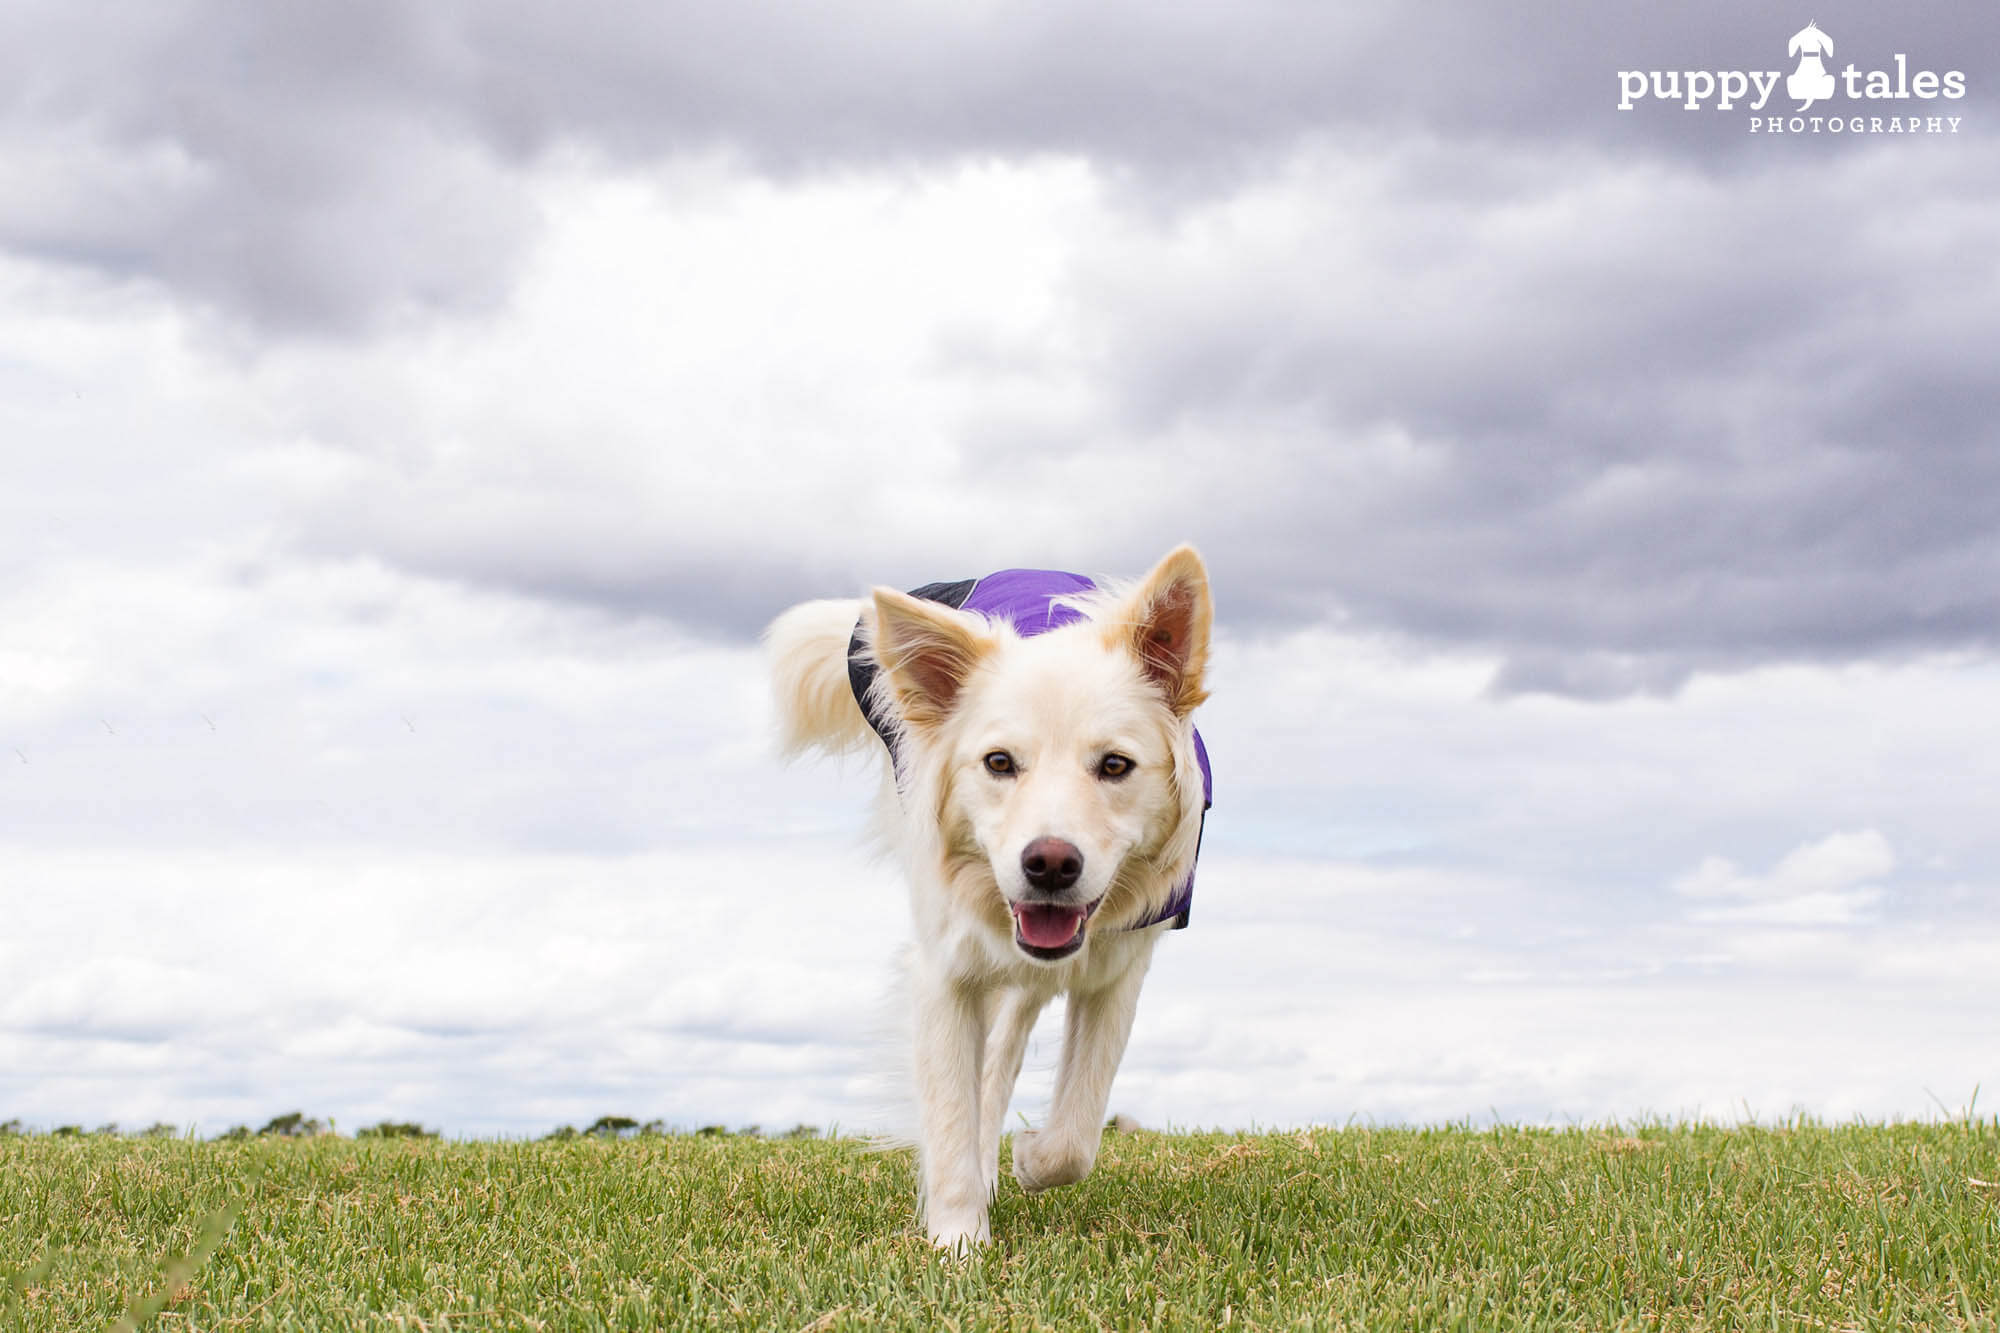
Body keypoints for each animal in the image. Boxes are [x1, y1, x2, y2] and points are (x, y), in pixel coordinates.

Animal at [760, 544, 1208, 1248]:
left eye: (1115, 765)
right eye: (999, 763)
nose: (1049, 864)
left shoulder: (1118, 973)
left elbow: (1076, 1135)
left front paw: (1030, 1158)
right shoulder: (943, 971)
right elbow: (949, 1115)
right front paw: (957, 1243)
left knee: (1005, 1052)